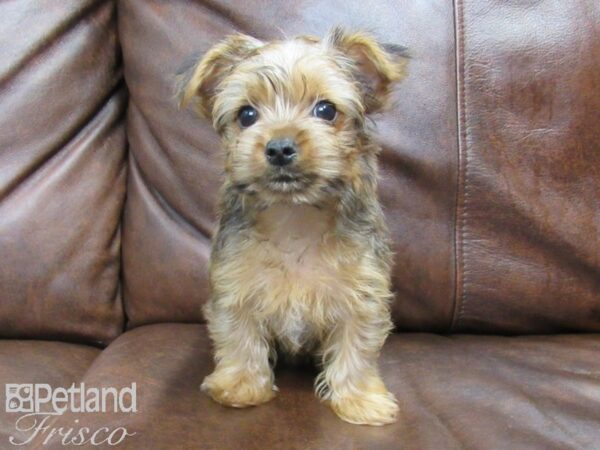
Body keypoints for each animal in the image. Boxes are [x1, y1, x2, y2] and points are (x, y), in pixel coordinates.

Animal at [180, 26, 408, 428]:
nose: (279, 147)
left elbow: (357, 347)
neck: (294, 214)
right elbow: (239, 335)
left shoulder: (362, 295)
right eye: (247, 115)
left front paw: (361, 400)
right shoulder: (234, 286)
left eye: (326, 110)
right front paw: (240, 386)